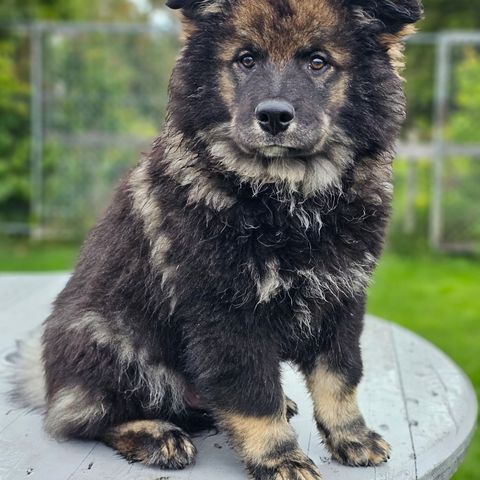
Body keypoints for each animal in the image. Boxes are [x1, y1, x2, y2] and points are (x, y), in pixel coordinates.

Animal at [12, 1, 420, 478]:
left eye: (318, 61)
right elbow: (253, 394)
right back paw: (157, 435)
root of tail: (49, 385)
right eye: (246, 59)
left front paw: (351, 436)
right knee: (86, 419)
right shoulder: (226, 312)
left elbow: (340, 376)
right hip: (112, 342)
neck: (285, 194)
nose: (274, 117)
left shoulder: (341, 297)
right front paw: (280, 457)